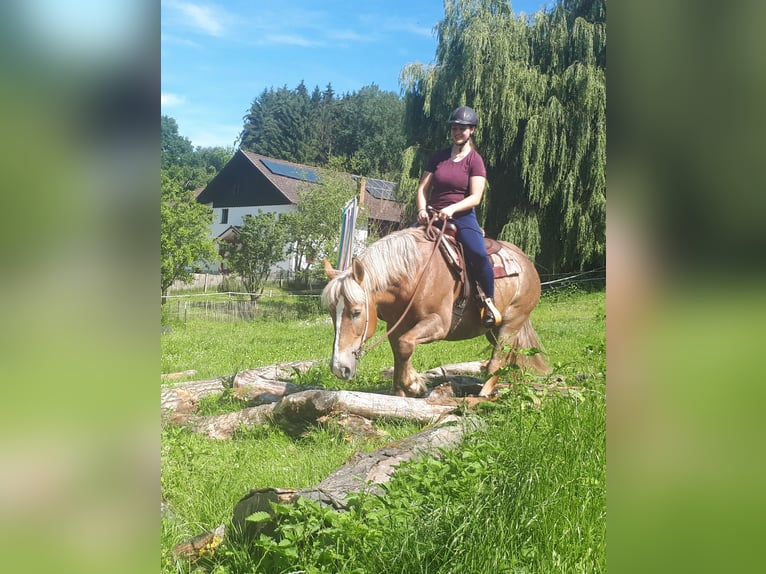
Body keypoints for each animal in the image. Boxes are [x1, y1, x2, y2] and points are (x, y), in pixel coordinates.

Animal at [320, 227, 552, 398]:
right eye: (331, 312)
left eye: (356, 312)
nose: (339, 368)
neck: (414, 274)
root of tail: (527, 263)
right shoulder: (396, 325)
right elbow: (399, 352)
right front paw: (399, 390)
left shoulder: (439, 324)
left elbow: (405, 345)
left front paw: (414, 385)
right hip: (493, 330)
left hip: (512, 323)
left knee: (498, 359)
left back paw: (485, 392)